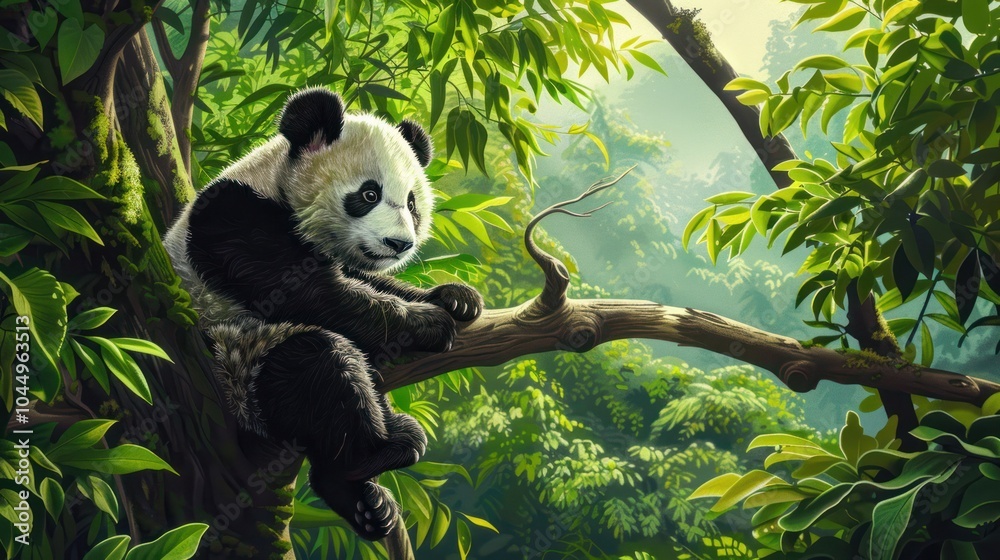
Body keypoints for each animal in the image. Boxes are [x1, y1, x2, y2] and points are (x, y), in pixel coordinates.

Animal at [163, 87, 483, 540]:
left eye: (412, 203)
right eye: (368, 195)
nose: (399, 244)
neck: (277, 183)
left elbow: (360, 279)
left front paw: (454, 297)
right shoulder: (232, 217)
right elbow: (308, 293)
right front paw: (428, 323)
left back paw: (369, 505)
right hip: (239, 358)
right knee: (321, 365)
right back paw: (382, 450)